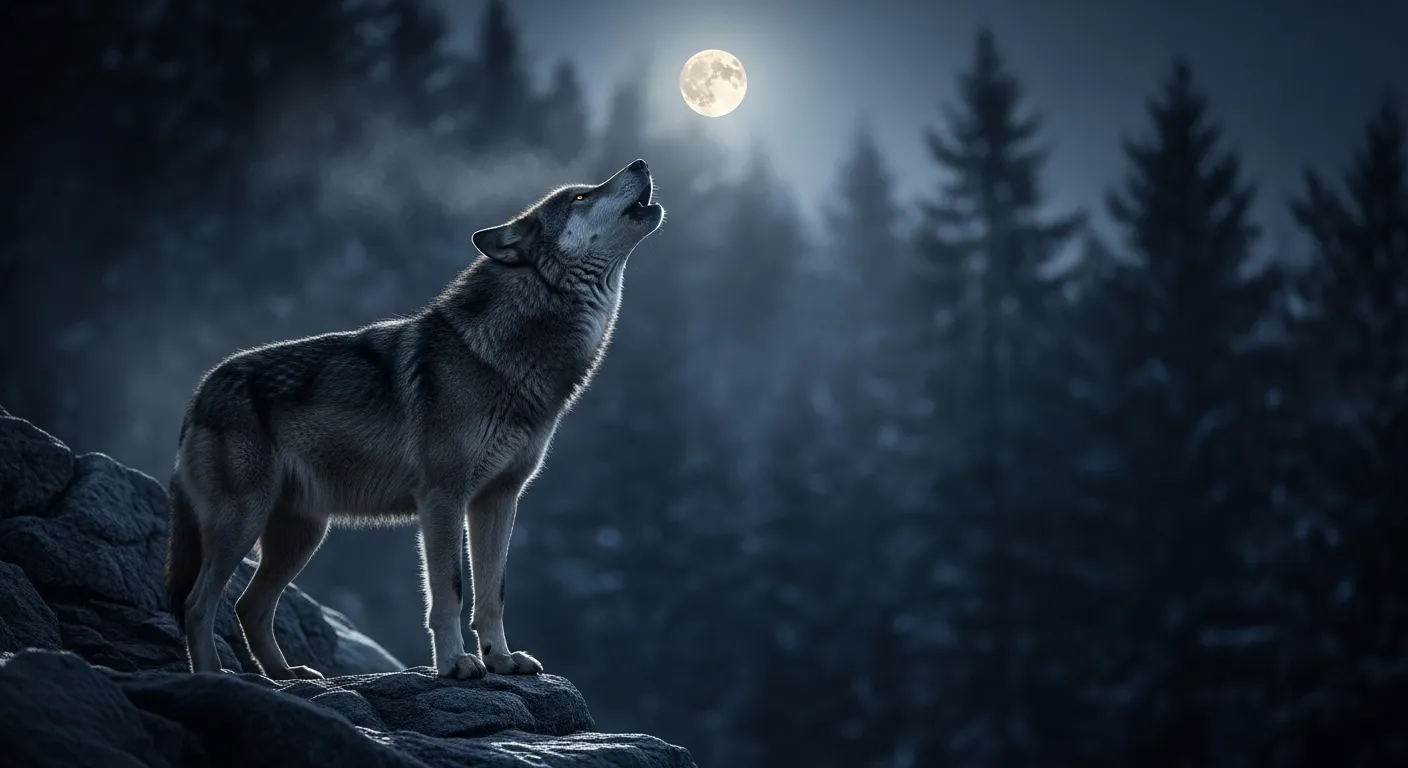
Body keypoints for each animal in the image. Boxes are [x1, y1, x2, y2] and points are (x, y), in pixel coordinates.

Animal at [163, 159, 664, 680]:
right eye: (580, 197)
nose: (640, 162)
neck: (501, 356)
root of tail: (200, 393)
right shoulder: (442, 498)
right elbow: (449, 591)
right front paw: (455, 664)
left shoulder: (498, 499)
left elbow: (493, 592)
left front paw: (501, 660)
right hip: (244, 524)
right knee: (199, 603)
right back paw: (213, 676)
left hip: (301, 535)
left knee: (248, 606)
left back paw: (286, 675)